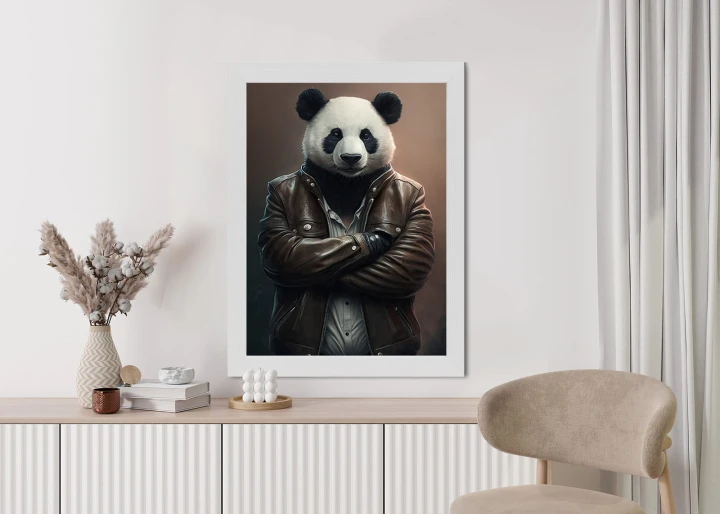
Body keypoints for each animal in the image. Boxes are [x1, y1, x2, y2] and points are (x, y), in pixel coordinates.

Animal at [258, 88, 435, 356]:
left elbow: (412, 257)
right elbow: (283, 251)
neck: (347, 183)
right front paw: (373, 242)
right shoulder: (276, 197)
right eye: (335, 134)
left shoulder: (417, 197)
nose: (351, 158)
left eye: (366, 135)